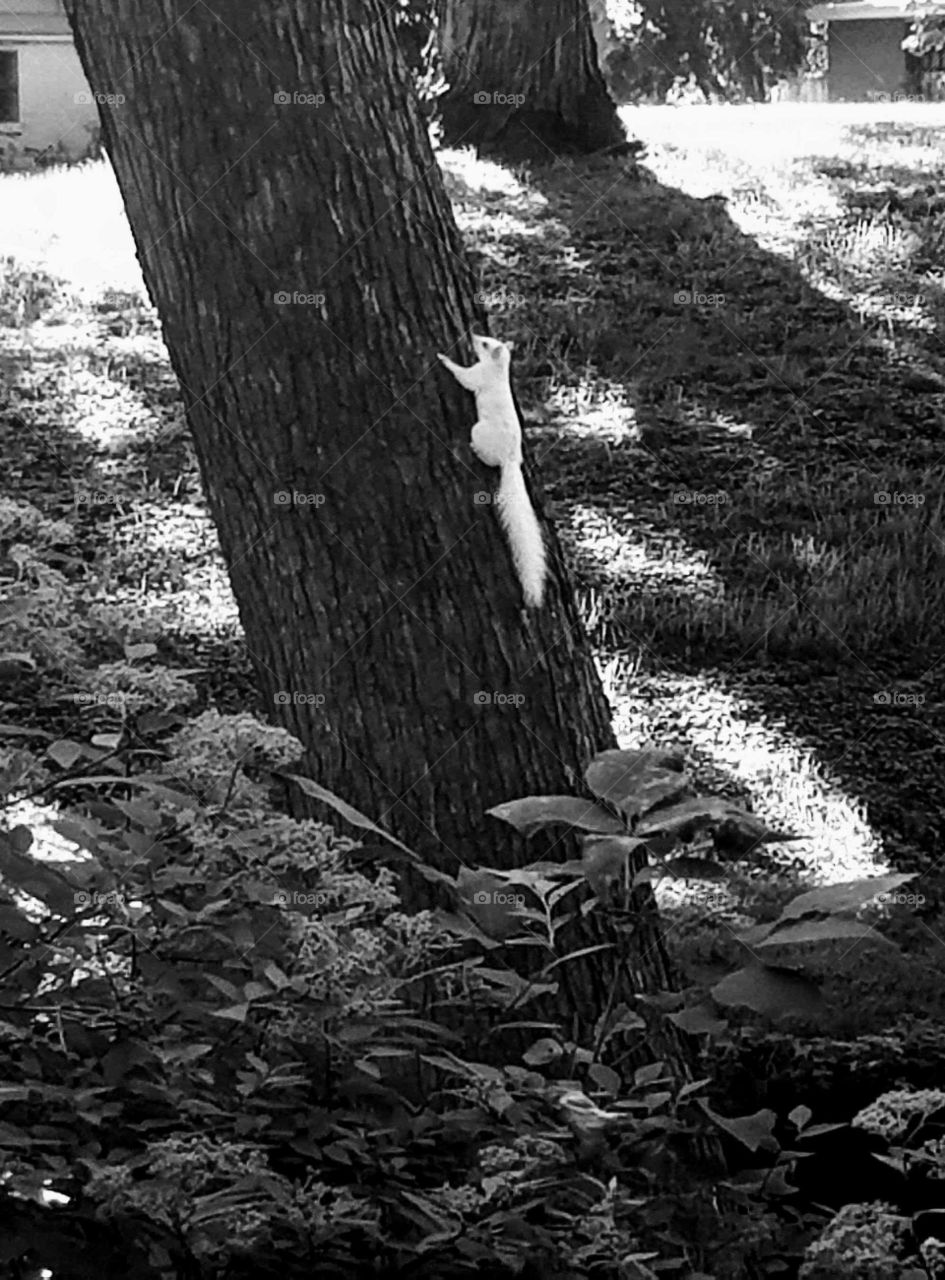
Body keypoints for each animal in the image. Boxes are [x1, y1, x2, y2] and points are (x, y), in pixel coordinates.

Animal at [437, 335, 547, 609]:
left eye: (486, 344)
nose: (472, 336)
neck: (498, 368)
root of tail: (510, 460)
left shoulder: (477, 376)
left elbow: (463, 377)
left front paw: (444, 359)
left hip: (479, 431)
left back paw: (473, 448)